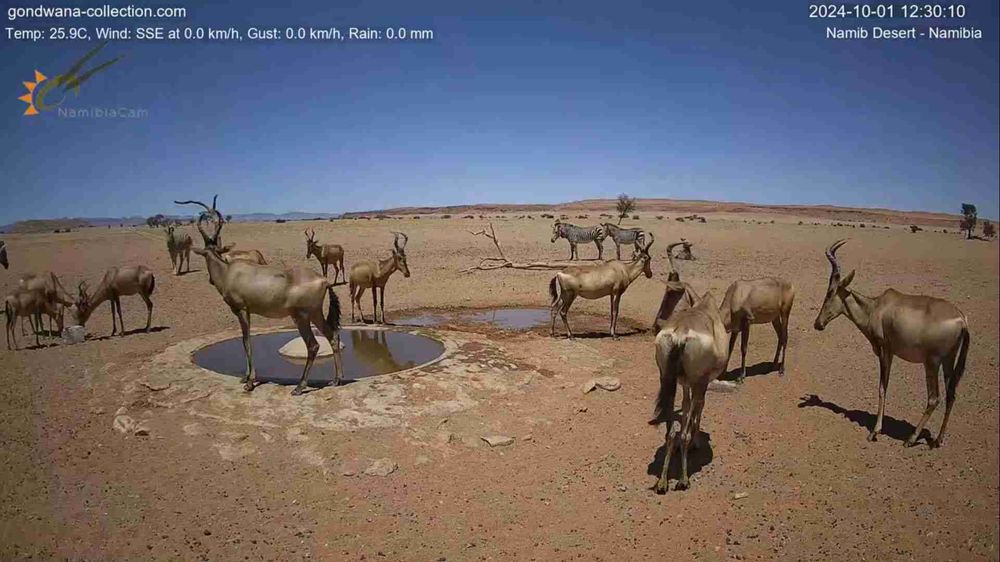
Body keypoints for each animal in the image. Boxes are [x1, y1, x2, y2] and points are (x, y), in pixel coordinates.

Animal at [174, 197, 342, 394]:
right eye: (215, 249)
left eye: (207, 254)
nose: (210, 281)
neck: (229, 271)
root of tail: (323, 280)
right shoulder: (247, 311)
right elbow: (245, 340)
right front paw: (245, 377)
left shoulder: (241, 310)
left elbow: (246, 340)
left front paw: (249, 382)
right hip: (315, 314)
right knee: (332, 336)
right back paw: (336, 380)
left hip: (301, 317)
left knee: (313, 345)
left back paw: (300, 387)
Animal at [648, 288, 728, 490]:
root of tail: (680, 333)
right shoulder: (701, 383)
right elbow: (699, 406)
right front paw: (695, 443)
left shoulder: (684, 384)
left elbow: (685, 406)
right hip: (697, 382)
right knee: (682, 433)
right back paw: (683, 480)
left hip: (666, 380)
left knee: (670, 433)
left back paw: (663, 482)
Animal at [812, 237, 968, 446]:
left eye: (830, 292)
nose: (818, 324)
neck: (876, 307)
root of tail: (962, 319)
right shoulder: (892, 352)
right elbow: (885, 385)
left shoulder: (884, 349)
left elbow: (882, 387)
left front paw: (874, 432)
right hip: (948, 360)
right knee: (951, 394)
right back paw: (938, 440)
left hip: (932, 362)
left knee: (934, 398)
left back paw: (911, 439)